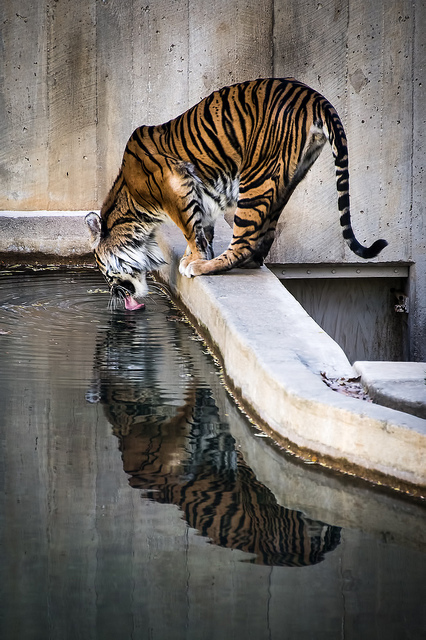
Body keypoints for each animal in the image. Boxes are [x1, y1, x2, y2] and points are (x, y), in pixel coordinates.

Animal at [85, 79, 386, 308]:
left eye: (103, 269)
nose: (113, 294)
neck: (134, 209)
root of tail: (312, 95)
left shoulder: (175, 184)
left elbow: (189, 227)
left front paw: (193, 260)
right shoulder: (199, 193)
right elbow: (201, 227)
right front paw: (195, 254)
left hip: (256, 178)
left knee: (244, 242)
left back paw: (206, 268)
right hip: (287, 180)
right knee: (265, 236)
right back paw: (247, 261)